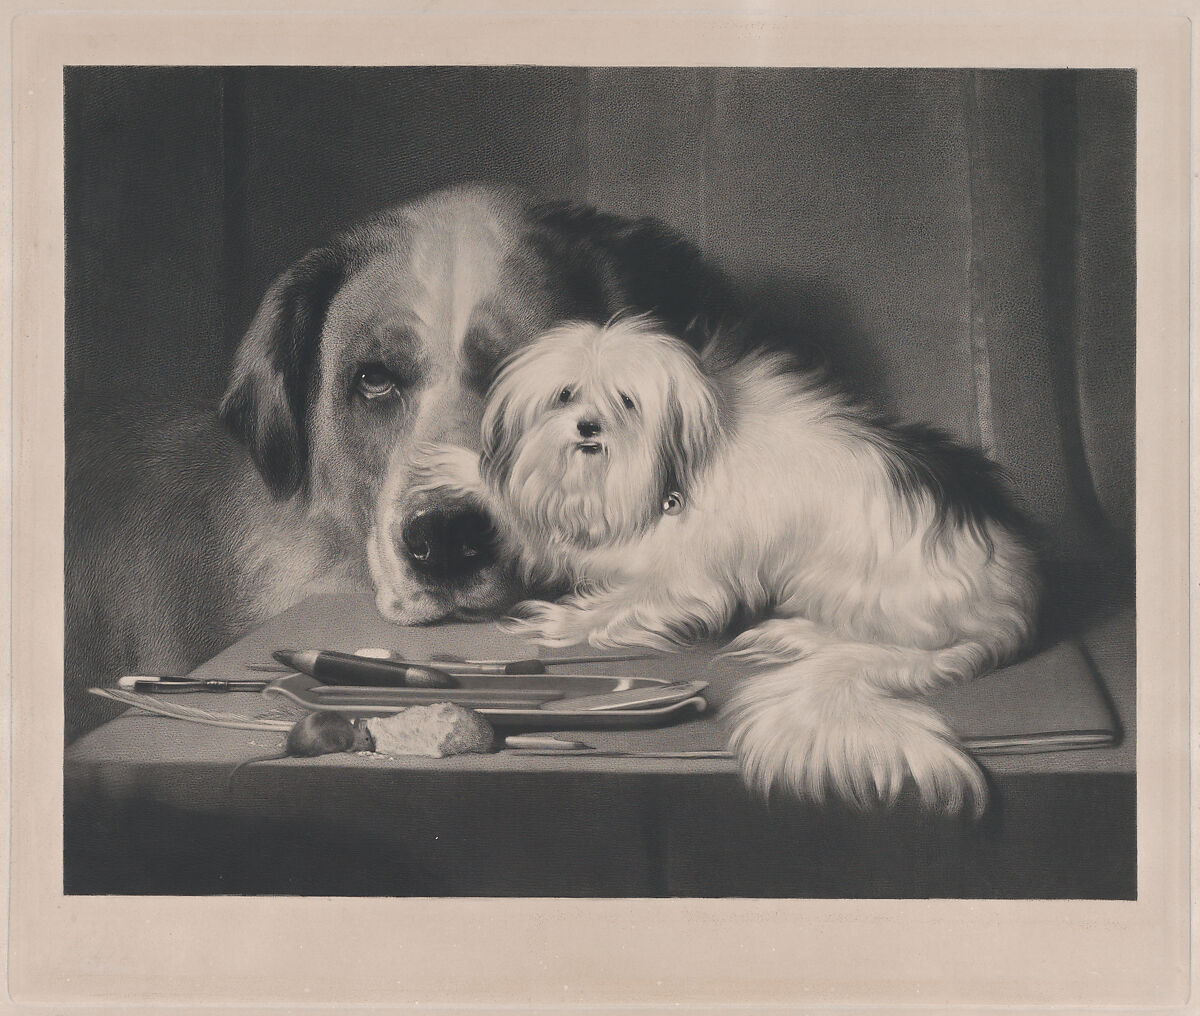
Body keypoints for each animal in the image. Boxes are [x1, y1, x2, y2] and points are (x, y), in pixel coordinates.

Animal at [420, 314, 1041, 815]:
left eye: (626, 401)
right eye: (566, 394)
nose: (588, 427)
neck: (671, 462)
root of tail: (1013, 607)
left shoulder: (680, 579)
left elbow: (622, 600)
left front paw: (561, 621)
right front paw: (461, 467)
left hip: (837, 577)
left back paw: (798, 635)